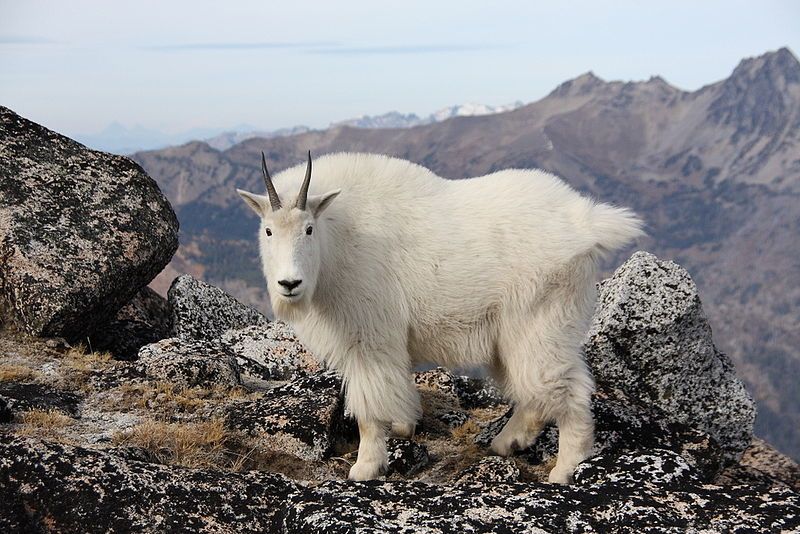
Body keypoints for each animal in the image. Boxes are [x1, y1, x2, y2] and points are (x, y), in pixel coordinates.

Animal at [236, 152, 644, 486]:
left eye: (308, 229)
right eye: (268, 230)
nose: (289, 284)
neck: (336, 237)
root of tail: (586, 222)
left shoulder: (369, 337)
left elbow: (369, 408)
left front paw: (365, 467)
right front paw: (405, 427)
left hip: (541, 320)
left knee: (566, 388)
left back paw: (565, 469)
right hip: (513, 335)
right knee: (534, 392)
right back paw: (506, 443)